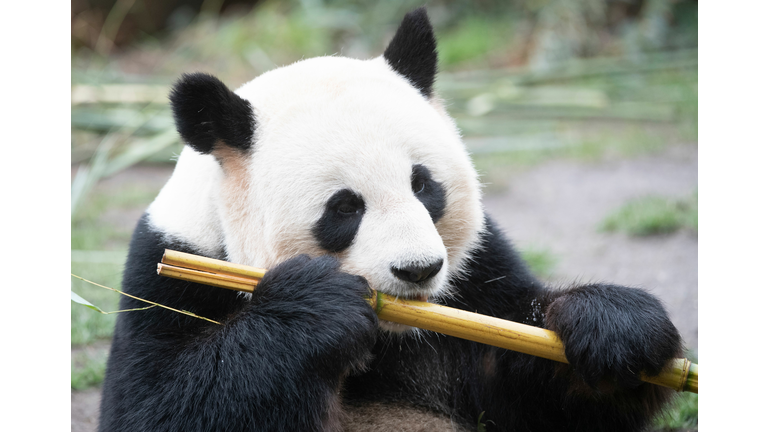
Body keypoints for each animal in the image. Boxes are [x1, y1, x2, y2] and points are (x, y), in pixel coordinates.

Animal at [99, 7, 680, 432]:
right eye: (344, 207)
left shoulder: (476, 276)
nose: (418, 270)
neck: (390, 335)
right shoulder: (170, 267)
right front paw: (315, 307)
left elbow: (531, 390)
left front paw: (614, 328)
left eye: (423, 185)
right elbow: (156, 406)